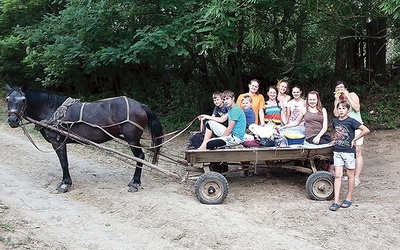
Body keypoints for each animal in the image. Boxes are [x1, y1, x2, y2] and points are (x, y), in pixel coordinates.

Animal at [5, 84, 164, 193]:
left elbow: (64, 163)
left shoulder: (58, 142)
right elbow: (65, 162)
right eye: (8, 99)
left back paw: (135, 183)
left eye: (23, 100)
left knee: (140, 157)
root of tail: (141, 105)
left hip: (132, 139)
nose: (12, 120)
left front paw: (65, 183)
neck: (51, 110)